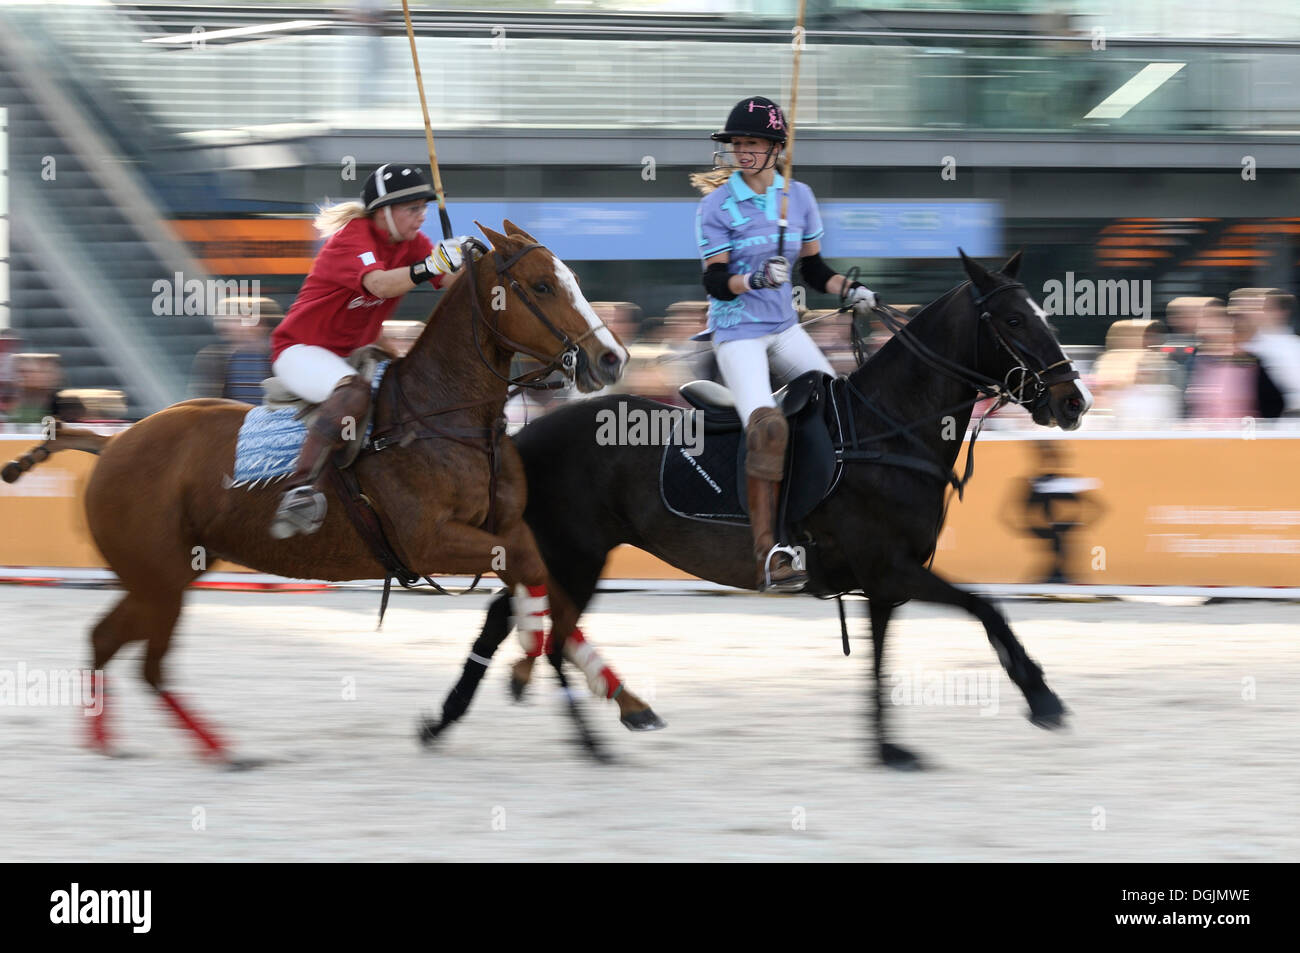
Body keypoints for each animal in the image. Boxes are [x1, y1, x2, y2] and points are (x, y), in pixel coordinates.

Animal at [0, 219, 650, 764]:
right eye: (541, 286)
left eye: (572, 279)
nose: (611, 359)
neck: (446, 415)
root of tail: (112, 443)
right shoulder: (428, 542)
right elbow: (529, 575)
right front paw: (524, 667)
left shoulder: (505, 527)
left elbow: (544, 582)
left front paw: (624, 700)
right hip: (157, 576)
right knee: (146, 662)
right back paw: (217, 750)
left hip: (168, 571)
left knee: (108, 639)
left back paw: (115, 740)